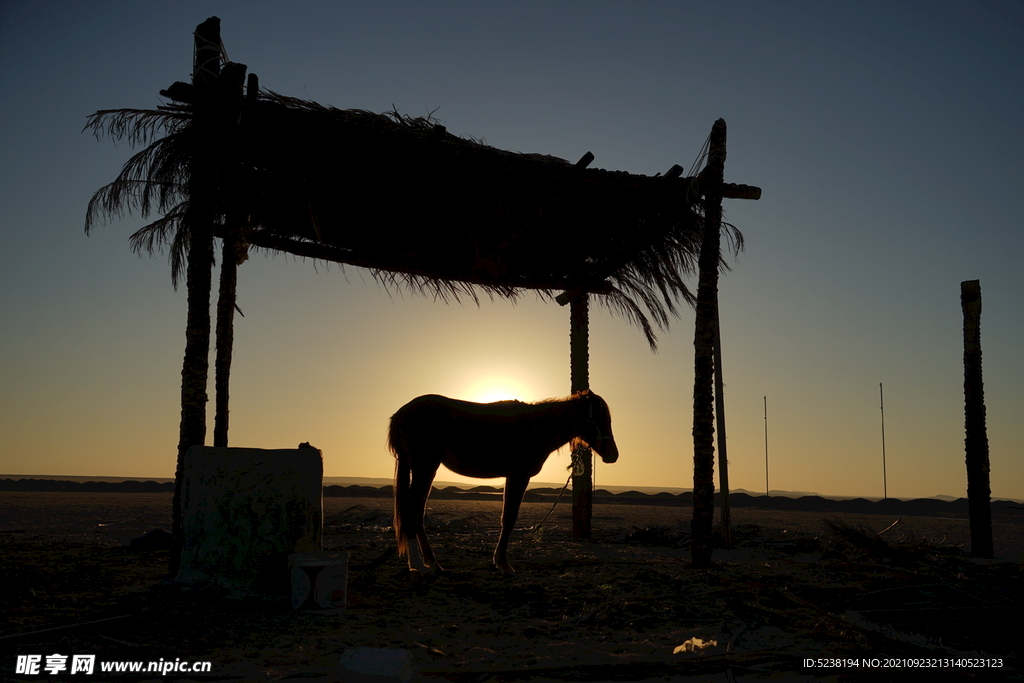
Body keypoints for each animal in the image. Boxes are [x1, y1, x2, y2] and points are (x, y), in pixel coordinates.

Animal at [388, 389, 618, 575]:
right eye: (602, 418)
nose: (613, 455)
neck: (535, 426)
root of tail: (401, 413)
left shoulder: (512, 477)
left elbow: (507, 518)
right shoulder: (519, 476)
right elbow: (509, 518)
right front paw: (503, 564)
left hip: (423, 470)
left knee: (417, 515)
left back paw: (433, 564)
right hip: (424, 468)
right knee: (411, 512)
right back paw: (418, 565)